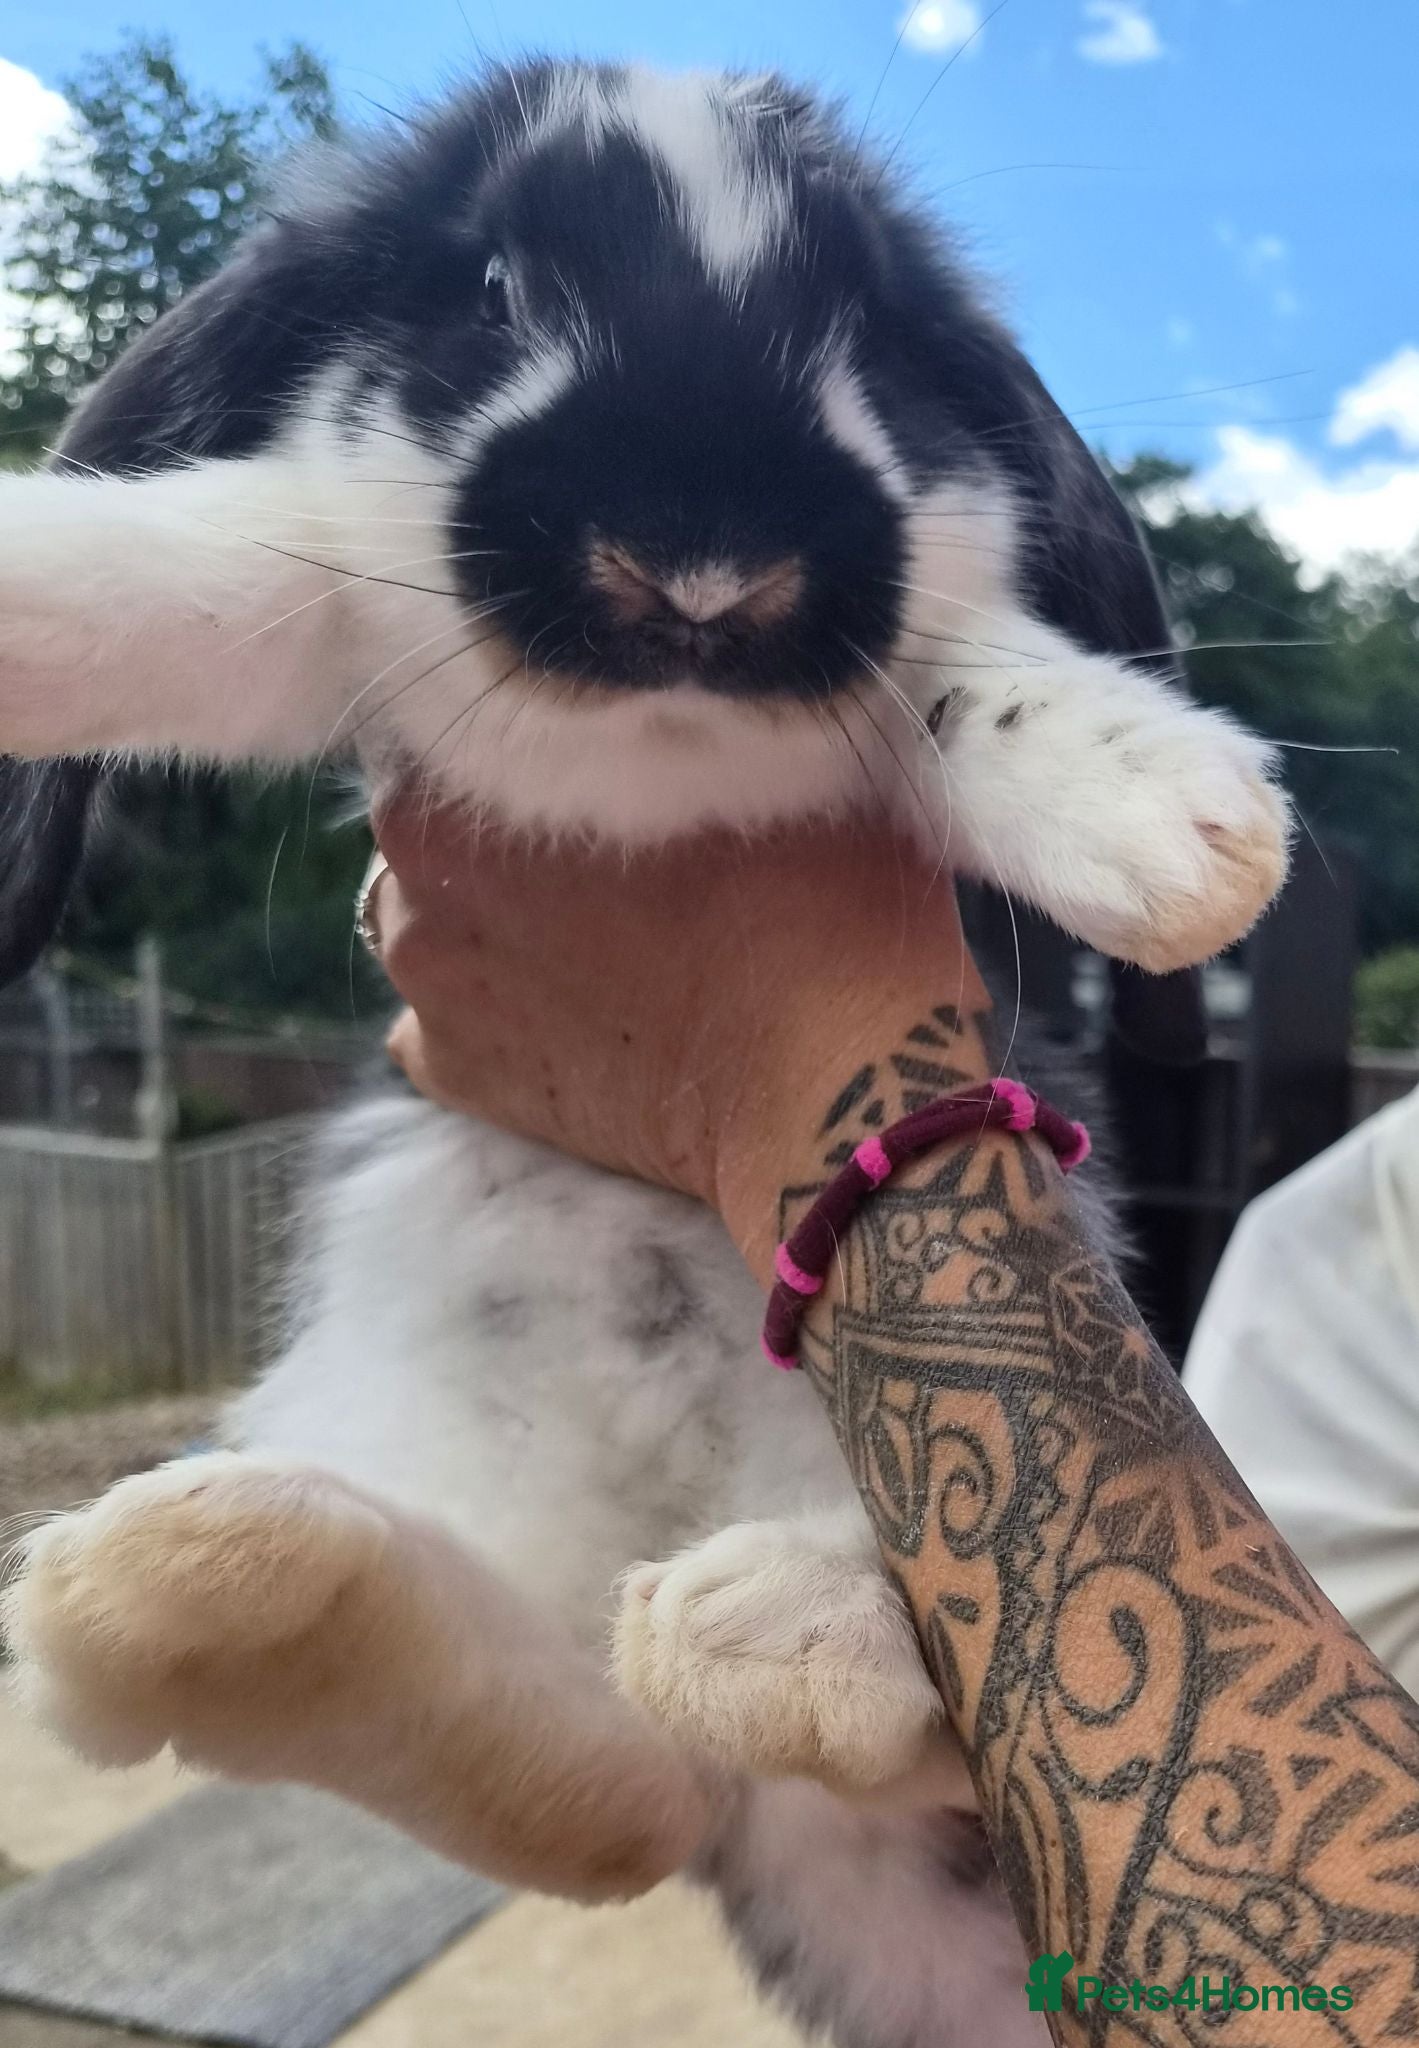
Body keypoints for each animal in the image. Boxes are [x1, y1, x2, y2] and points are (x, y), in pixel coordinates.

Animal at [0, 60, 1290, 2048]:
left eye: (859, 332)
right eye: (491, 289)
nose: (699, 565)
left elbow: (957, 652)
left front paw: (1175, 826)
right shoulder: (325, 586)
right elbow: (190, 569)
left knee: (785, 1744)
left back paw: (772, 1627)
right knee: (609, 1789)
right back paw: (194, 1591)